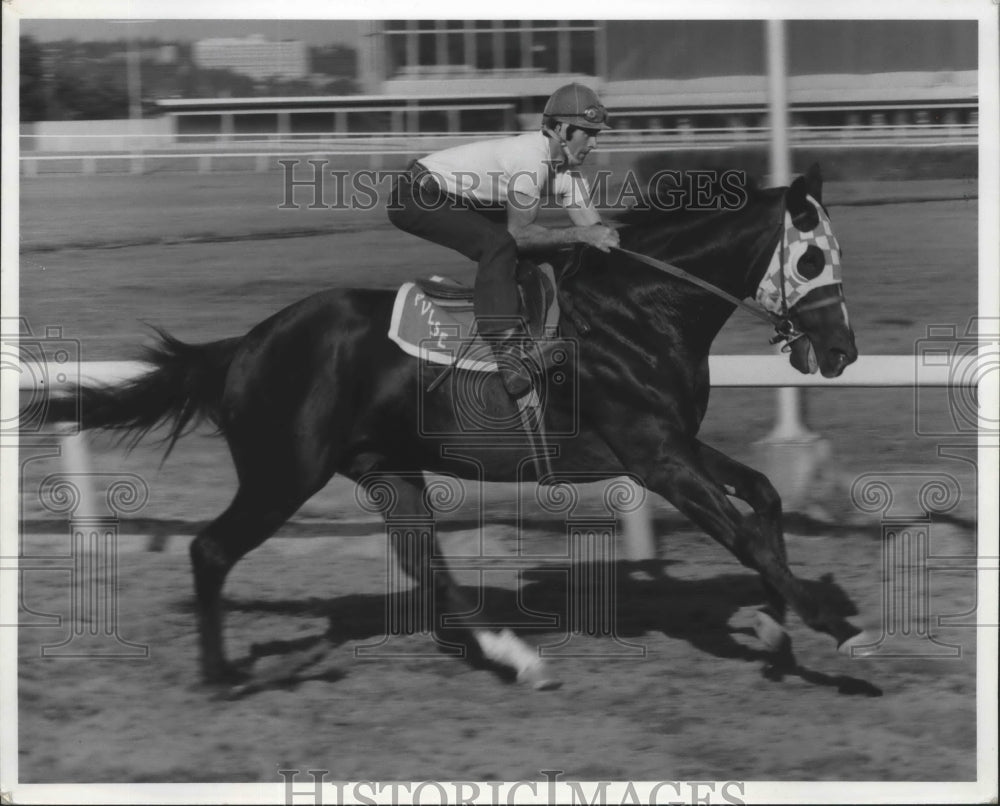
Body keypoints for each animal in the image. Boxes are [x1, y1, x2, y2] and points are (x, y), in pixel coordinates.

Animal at [47, 164, 868, 696]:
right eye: (812, 257)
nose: (841, 352)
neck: (640, 309)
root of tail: (242, 348)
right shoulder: (654, 454)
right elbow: (744, 531)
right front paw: (829, 621)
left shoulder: (672, 442)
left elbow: (763, 496)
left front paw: (779, 624)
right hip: (286, 472)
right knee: (212, 549)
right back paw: (220, 677)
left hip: (386, 467)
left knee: (425, 563)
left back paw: (515, 656)